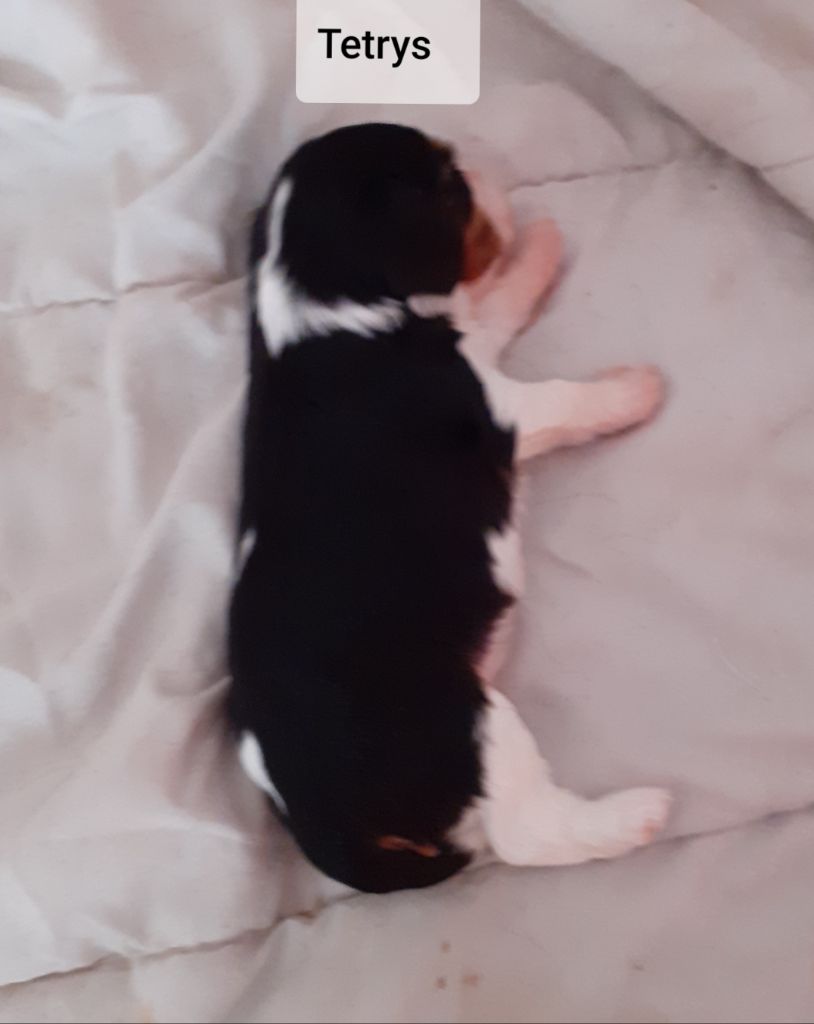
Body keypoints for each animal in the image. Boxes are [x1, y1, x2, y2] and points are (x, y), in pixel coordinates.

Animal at [227, 123, 670, 893]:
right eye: (450, 186)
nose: (481, 165)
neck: (331, 313)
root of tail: (322, 825)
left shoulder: (472, 339)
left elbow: (498, 302)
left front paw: (541, 245)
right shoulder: (502, 407)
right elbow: (570, 399)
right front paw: (633, 389)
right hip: (469, 722)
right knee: (528, 834)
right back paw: (637, 813)